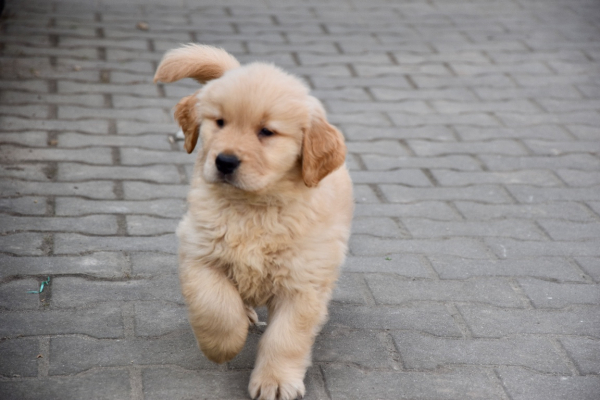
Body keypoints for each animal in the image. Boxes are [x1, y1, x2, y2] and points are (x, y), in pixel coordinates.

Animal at [152, 44, 354, 400]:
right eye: (219, 122)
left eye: (266, 132)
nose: (225, 161)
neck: (254, 207)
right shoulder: (199, 251)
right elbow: (216, 307)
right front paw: (222, 346)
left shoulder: (303, 281)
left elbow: (286, 337)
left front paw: (275, 380)